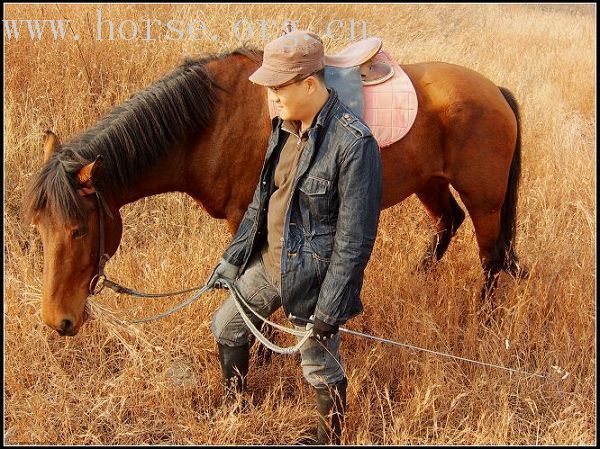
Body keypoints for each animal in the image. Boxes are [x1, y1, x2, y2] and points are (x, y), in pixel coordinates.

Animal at [25, 48, 528, 336]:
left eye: (77, 230)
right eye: (39, 230)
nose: (58, 321)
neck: (210, 123)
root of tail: (495, 90)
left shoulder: (250, 216)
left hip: (484, 198)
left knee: (490, 256)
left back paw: (482, 322)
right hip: (430, 183)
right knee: (448, 223)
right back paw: (421, 278)